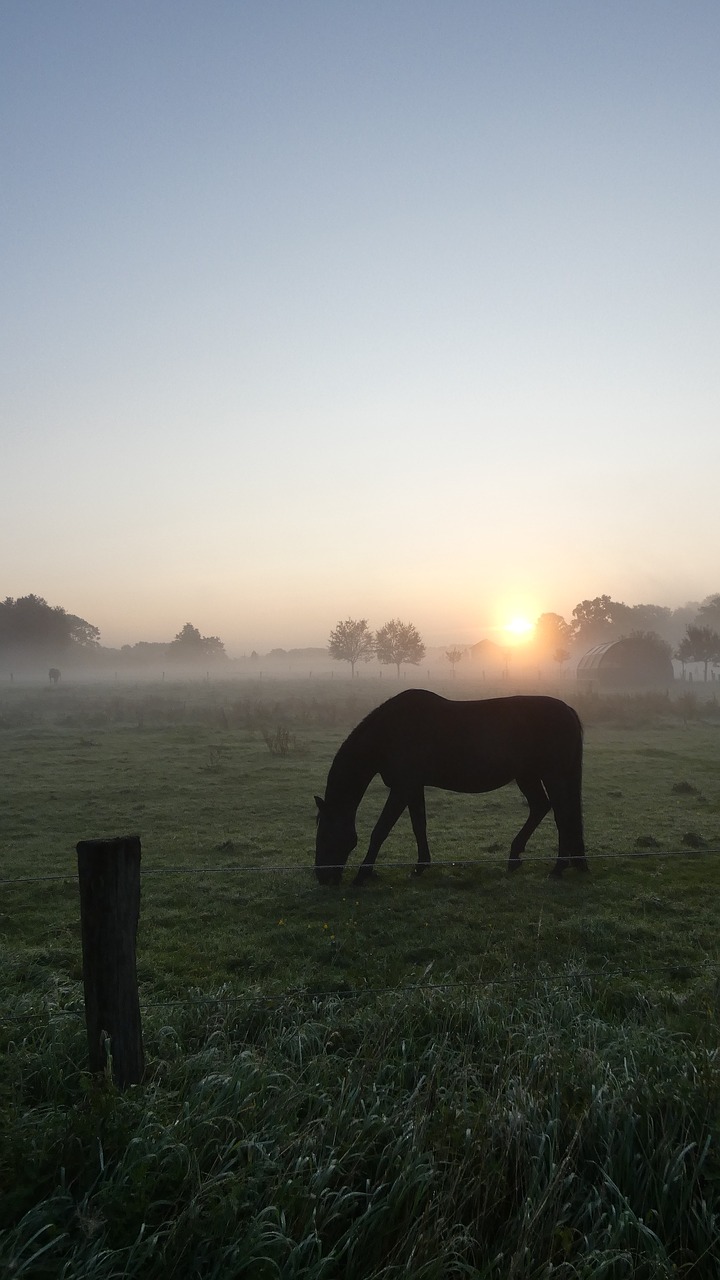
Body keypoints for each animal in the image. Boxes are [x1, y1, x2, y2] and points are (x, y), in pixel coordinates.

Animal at [312, 691, 584, 890]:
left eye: (324, 835)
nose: (321, 877)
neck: (391, 732)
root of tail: (568, 710)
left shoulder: (401, 789)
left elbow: (380, 831)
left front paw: (362, 874)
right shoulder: (413, 788)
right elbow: (419, 826)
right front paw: (420, 866)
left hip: (551, 776)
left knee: (562, 815)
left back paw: (558, 868)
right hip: (527, 775)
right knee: (541, 807)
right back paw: (516, 857)